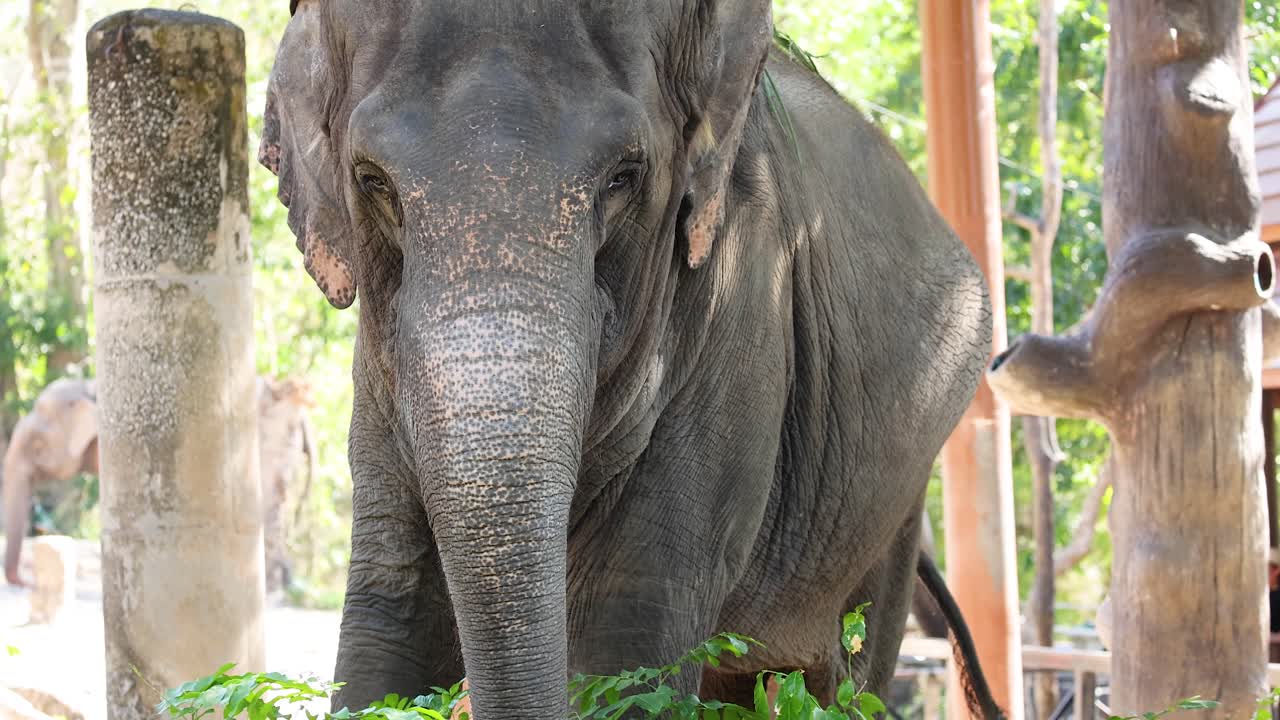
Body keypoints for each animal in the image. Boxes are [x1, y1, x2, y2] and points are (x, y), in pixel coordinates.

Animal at [260, 2, 1001, 719]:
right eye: (372, 181)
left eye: (623, 177)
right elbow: (391, 614)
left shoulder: (739, 301)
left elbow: (627, 635)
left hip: (895, 498)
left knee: (848, 675)